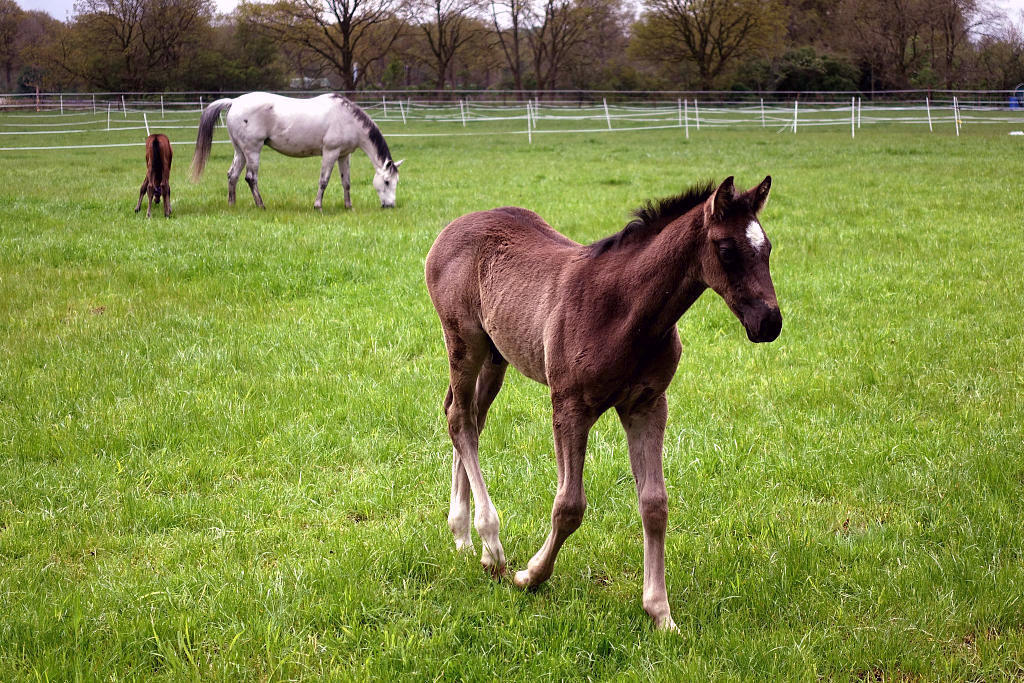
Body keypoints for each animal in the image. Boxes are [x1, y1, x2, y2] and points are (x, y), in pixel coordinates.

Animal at [190, 92, 401, 208]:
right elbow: (323, 181)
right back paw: (261, 205)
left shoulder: (343, 155)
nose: (390, 205)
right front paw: (318, 206)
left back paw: (232, 204)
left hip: (240, 151)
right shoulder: (330, 152)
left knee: (232, 175)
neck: (347, 119)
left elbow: (346, 183)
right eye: (387, 181)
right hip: (252, 150)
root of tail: (234, 102)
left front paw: (348, 206)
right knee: (251, 178)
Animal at [423, 176, 782, 630]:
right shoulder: (570, 407)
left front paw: (660, 612)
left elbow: (655, 504)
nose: (769, 322)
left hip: (495, 354)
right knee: (459, 419)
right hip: (463, 342)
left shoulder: (647, 406)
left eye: (766, 248)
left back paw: (465, 538)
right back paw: (492, 543)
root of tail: (452, 227)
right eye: (726, 249)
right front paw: (530, 576)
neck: (625, 311)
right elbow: (569, 505)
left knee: (469, 417)